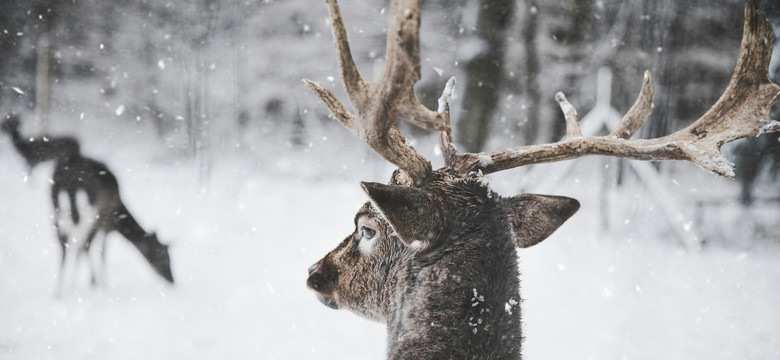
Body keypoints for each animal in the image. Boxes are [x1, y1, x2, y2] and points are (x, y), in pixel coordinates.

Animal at [1, 114, 174, 294]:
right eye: (164, 256)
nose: (172, 280)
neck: (120, 215)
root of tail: (69, 183)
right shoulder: (106, 222)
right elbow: (101, 250)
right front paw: (100, 282)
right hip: (89, 211)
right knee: (82, 244)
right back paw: (82, 283)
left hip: (57, 208)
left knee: (64, 244)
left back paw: (60, 290)